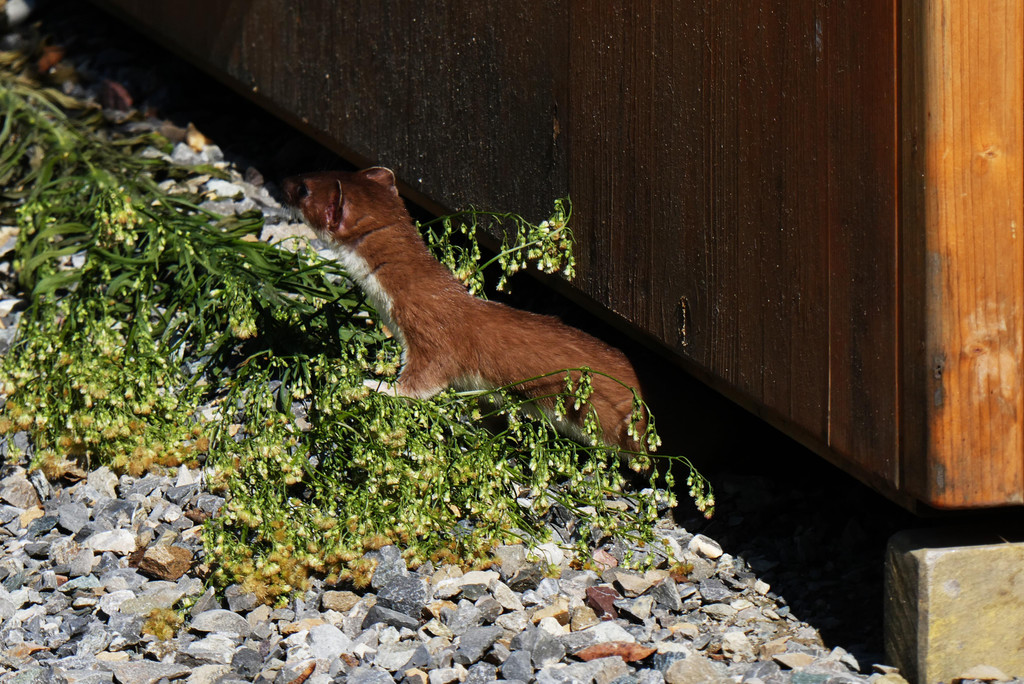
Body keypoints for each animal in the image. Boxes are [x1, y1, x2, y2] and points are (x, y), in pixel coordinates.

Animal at [282, 167, 648, 455]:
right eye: (315, 170)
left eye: (303, 189)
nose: (285, 180)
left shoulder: (431, 334)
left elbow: (424, 381)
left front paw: (375, 386)